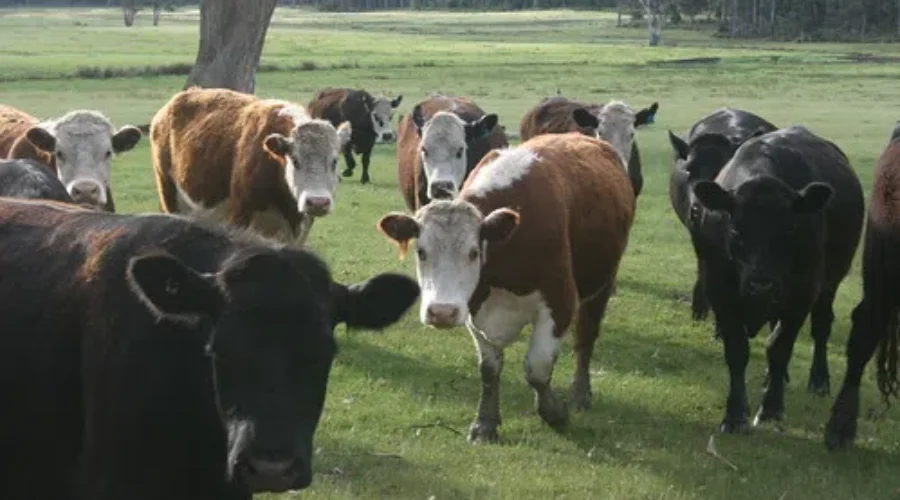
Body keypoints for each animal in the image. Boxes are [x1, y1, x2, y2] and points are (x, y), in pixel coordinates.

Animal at [378, 132, 636, 443]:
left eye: (474, 252)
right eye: (421, 252)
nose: (441, 312)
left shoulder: (559, 301)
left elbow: (537, 368)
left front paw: (554, 413)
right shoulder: (474, 308)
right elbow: (489, 370)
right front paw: (485, 423)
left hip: (602, 283)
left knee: (585, 338)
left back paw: (580, 393)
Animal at [667, 107, 778, 322]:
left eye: (724, 169)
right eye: (689, 170)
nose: (698, 208)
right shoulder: (697, 234)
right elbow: (704, 266)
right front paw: (699, 309)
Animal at [690, 126, 864, 433]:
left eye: (790, 228)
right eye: (735, 228)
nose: (762, 285)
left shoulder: (802, 293)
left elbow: (779, 347)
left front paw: (771, 408)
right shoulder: (720, 290)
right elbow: (737, 350)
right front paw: (735, 415)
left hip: (829, 284)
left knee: (821, 327)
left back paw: (818, 381)